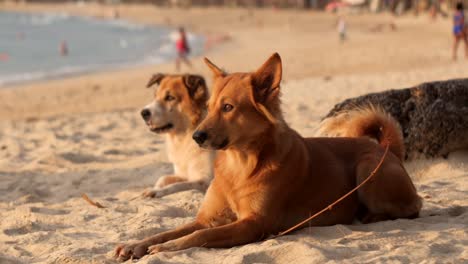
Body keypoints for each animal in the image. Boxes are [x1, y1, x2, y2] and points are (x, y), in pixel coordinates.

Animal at [115, 53, 422, 260]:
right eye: (210, 106)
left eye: (228, 107)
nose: (197, 137)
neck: (240, 164)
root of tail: (387, 149)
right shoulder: (208, 218)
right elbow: (174, 230)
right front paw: (137, 244)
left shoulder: (252, 224)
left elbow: (198, 236)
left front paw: (164, 248)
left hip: (368, 168)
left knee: (413, 207)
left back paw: (370, 216)